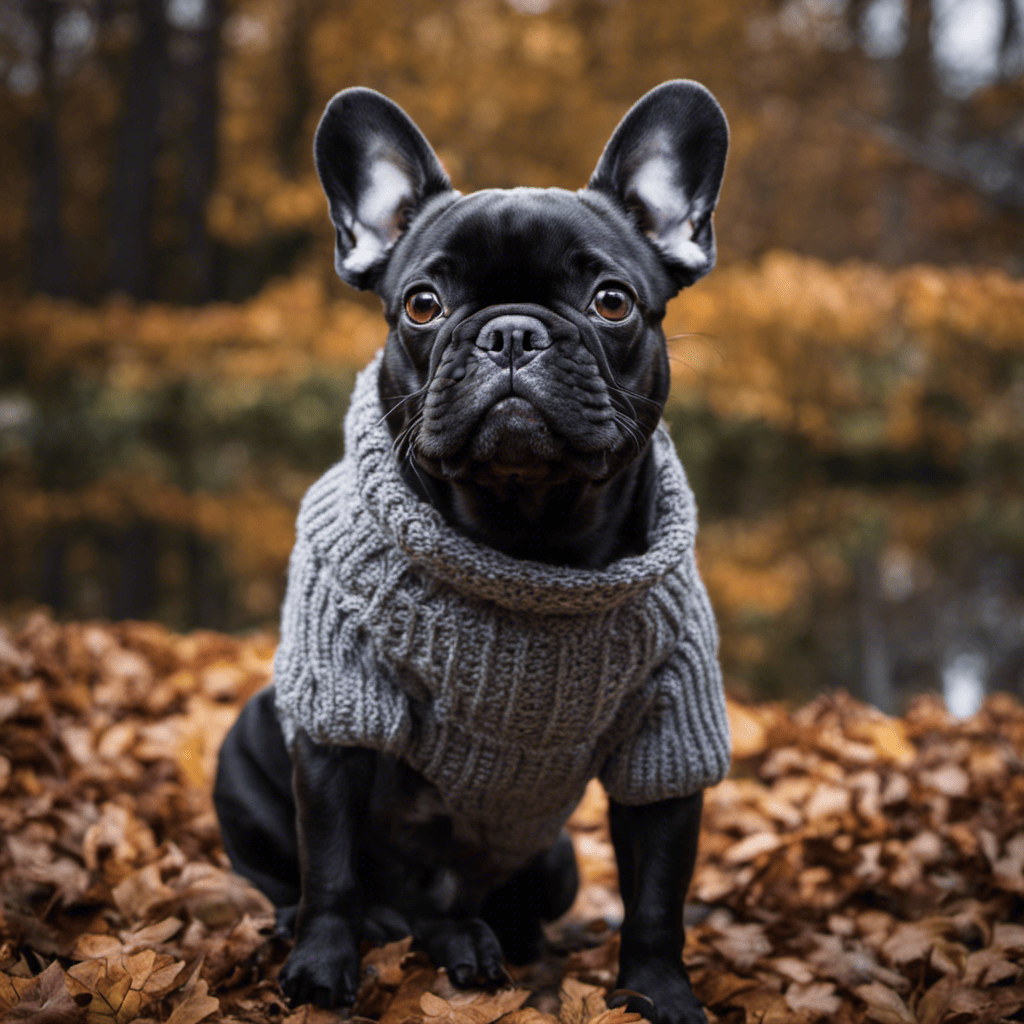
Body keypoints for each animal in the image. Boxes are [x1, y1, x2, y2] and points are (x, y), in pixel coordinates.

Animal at [214, 81, 729, 1024]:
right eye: (423, 304)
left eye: (611, 301)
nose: (513, 332)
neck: (527, 537)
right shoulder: (338, 709)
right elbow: (332, 867)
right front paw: (320, 972)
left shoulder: (671, 734)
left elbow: (657, 894)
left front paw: (659, 994)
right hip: (246, 753)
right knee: (324, 886)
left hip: (556, 864)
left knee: (464, 912)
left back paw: (479, 943)